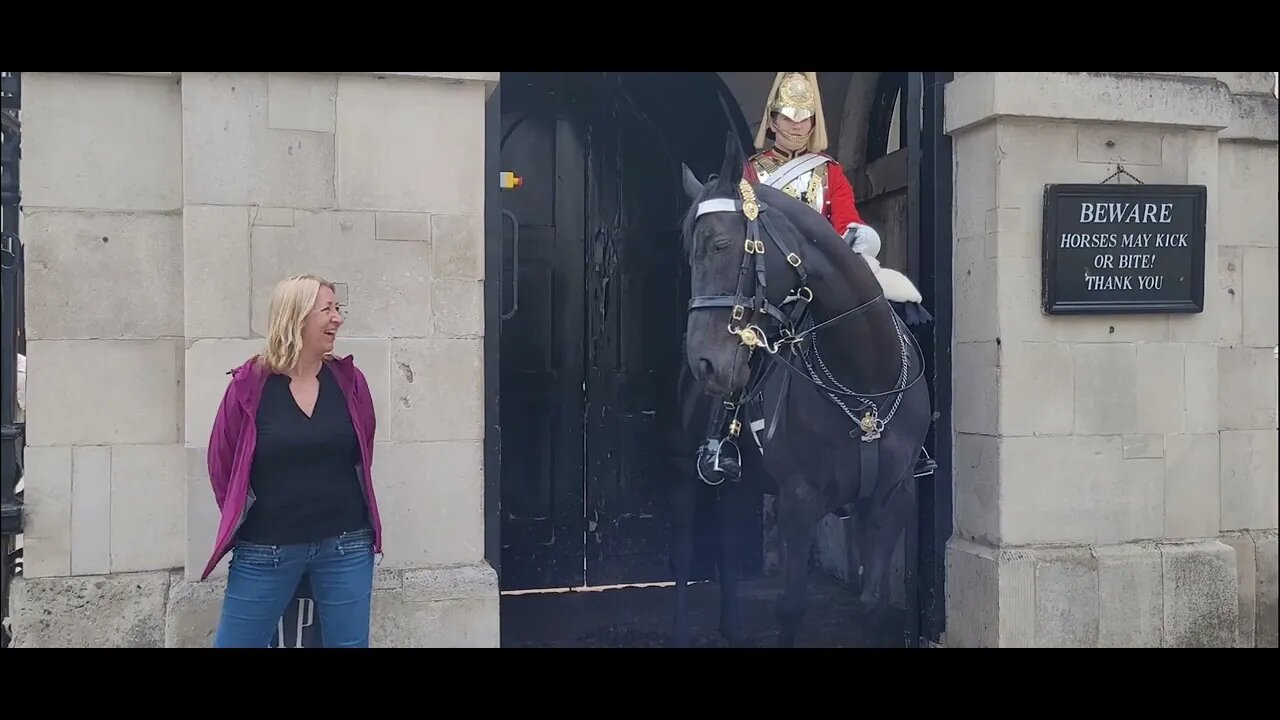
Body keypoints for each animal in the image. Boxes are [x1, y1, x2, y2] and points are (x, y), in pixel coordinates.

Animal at [660, 131, 931, 648]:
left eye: (722, 244)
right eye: (688, 252)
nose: (704, 362)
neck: (863, 374)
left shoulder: (893, 498)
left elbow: (873, 604)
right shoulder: (799, 501)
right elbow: (791, 607)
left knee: (727, 540)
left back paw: (732, 629)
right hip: (685, 466)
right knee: (683, 547)